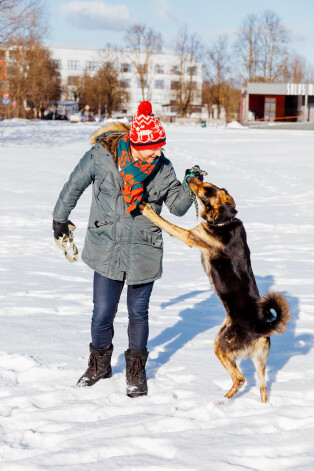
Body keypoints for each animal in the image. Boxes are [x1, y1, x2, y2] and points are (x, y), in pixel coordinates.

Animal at [139, 177, 290, 402]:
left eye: (207, 189)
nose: (189, 175)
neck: (224, 219)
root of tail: (260, 328)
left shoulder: (189, 236)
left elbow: (164, 222)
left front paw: (146, 208)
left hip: (221, 345)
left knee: (240, 379)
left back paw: (221, 402)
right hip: (259, 360)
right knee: (262, 388)